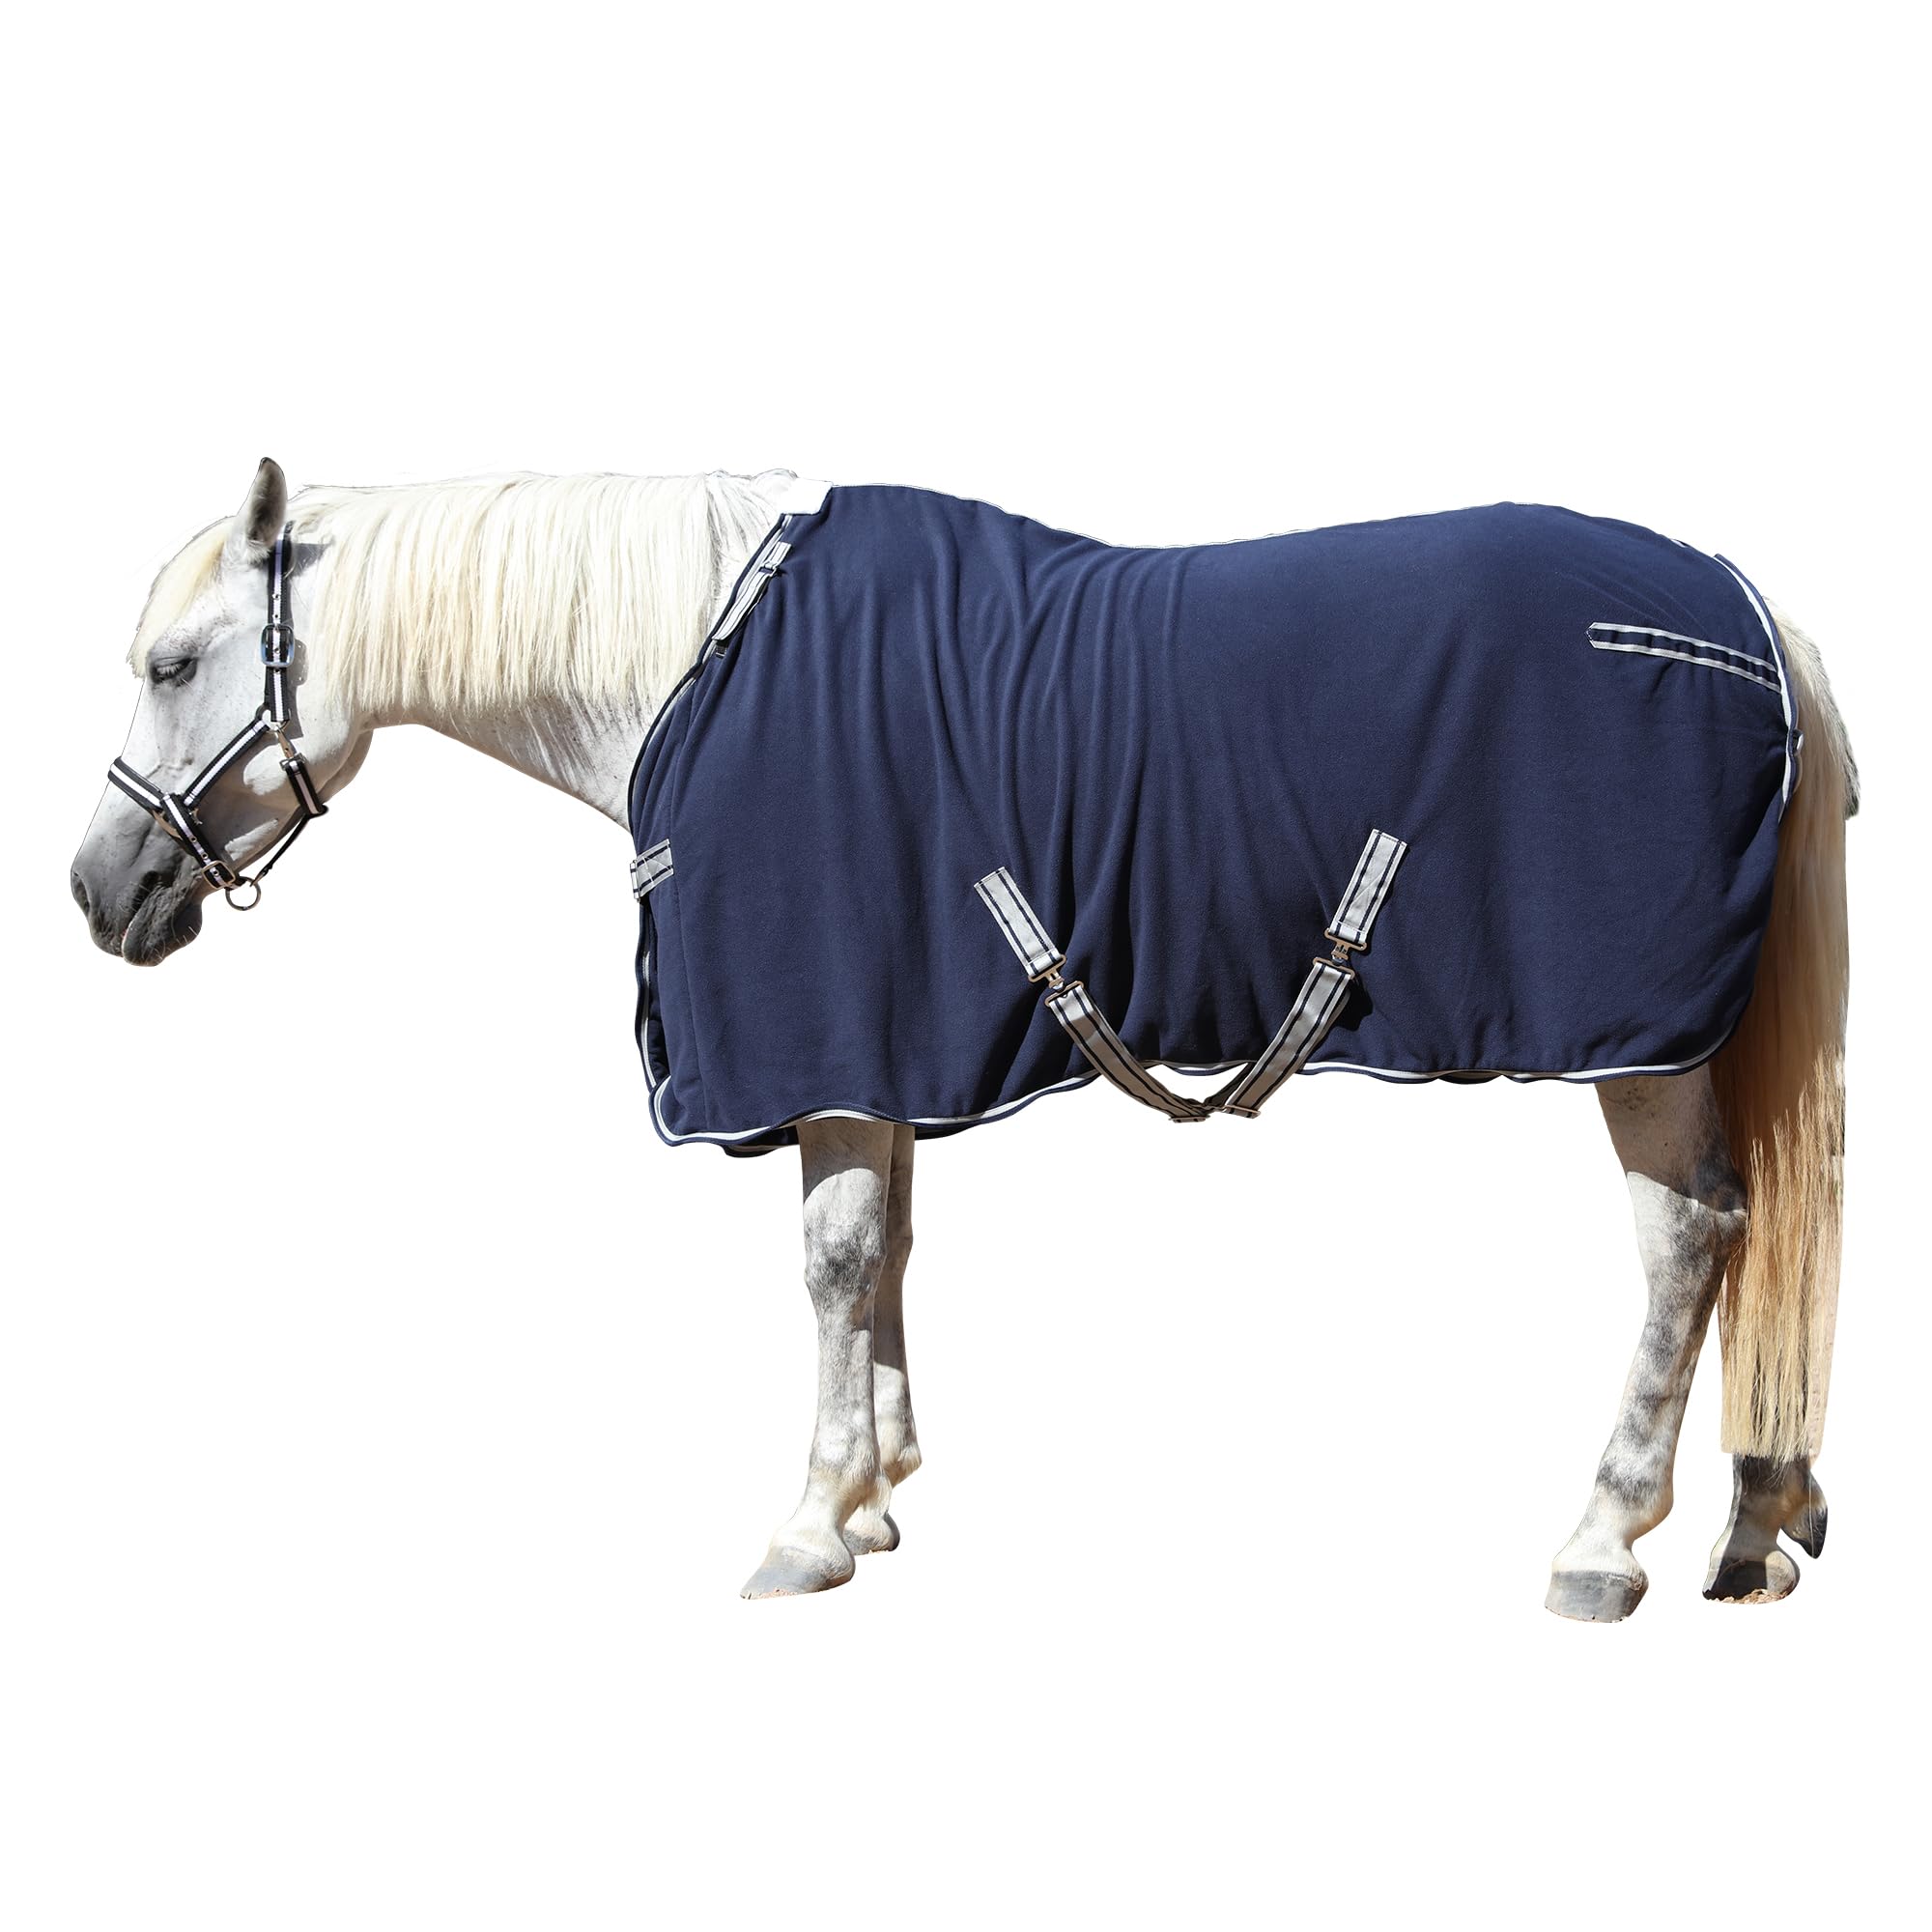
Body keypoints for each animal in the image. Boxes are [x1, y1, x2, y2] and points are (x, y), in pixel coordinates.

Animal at [69, 459, 1855, 1618]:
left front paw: (808, 1524)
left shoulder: (823, 1031)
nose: (99, 893)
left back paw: (1603, 1543)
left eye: (174, 661)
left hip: (1636, 1044)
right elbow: (887, 1250)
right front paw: (876, 1498)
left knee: (1687, 1240)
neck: (695, 664)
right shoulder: (882, 1050)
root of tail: (1745, 609)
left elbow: (832, 1259)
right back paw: (1758, 1522)